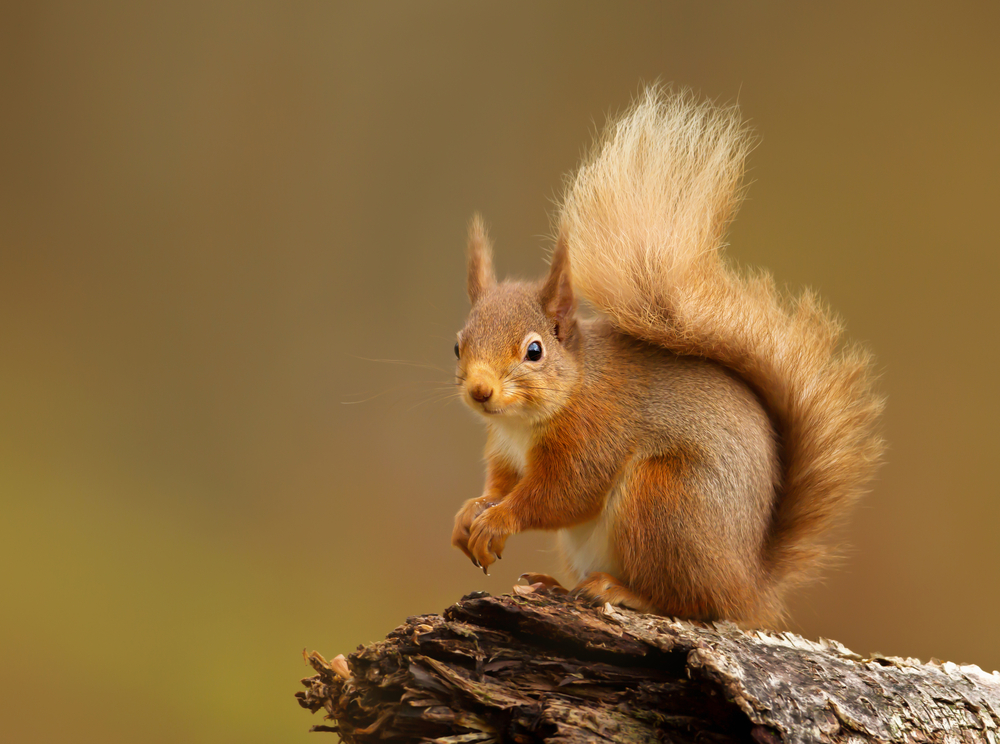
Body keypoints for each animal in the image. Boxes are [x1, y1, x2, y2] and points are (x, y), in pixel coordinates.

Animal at [450, 87, 880, 624]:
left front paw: (499, 519)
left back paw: (621, 591)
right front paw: (471, 510)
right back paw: (553, 583)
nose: (480, 391)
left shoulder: (595, 434)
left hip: (662, 501)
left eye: (534, 350)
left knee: (689, 601)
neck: (525, 422)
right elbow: (501, 484)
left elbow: (563, 494)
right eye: (457, 344)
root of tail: (750, 587)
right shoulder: (506, 454)